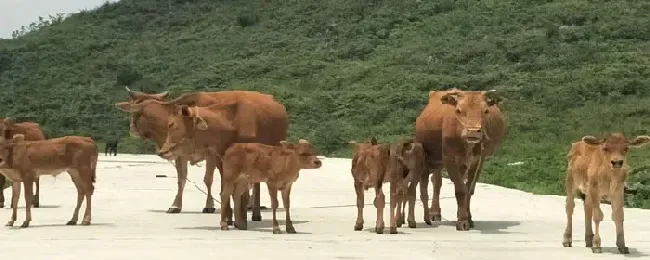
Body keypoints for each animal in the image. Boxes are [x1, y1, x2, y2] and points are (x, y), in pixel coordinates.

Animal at [416, 88, 506, 231]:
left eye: (485, 110)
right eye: (458, 110)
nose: (473, 132)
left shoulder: (476, 160)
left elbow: (468, 189)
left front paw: (467, 217)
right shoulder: (449, 159)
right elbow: (460, 189)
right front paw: (463, 221)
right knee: (436, 182)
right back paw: (434, 212)